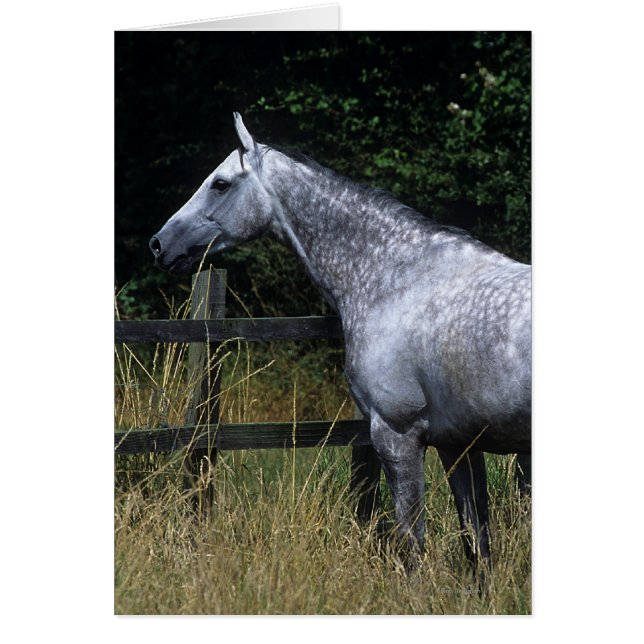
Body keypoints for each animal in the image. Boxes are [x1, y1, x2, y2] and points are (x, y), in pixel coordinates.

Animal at [150, 113, 531, 569]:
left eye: (220, 183)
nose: (159, 244)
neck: (399, 282)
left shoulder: (397, 436)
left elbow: (413, 545)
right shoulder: (459, 446)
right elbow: (477, 546)